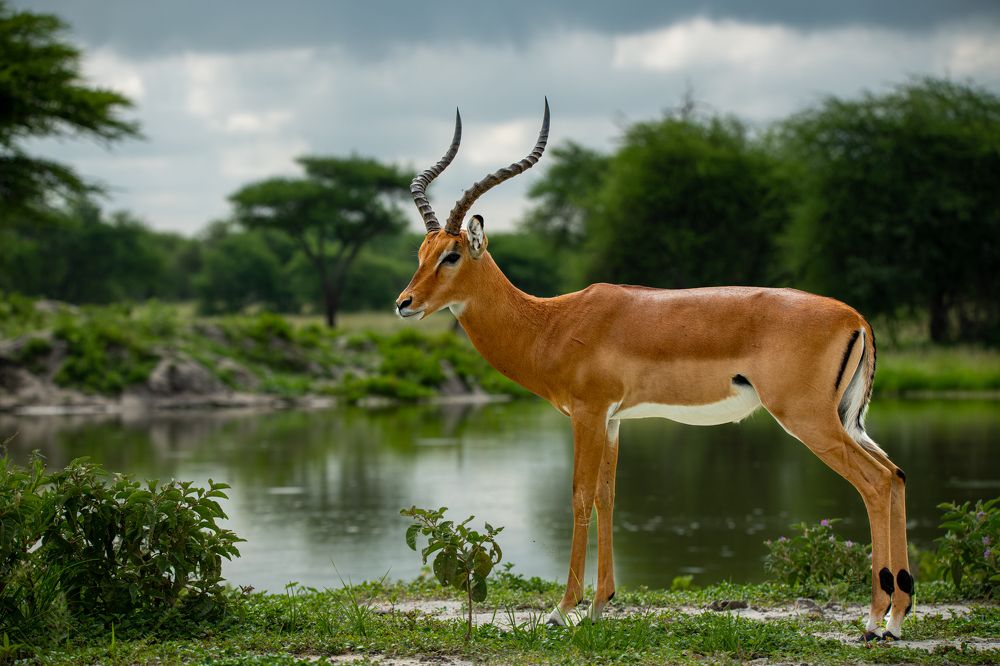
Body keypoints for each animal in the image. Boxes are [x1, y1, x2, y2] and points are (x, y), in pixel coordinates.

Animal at [396, 101, 913, 641]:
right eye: (422, 253)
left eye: (452, 255)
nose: (403, 303)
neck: (552, 323)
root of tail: (855, 318)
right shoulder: (613, 420)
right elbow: (607, 497)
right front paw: (600, 606)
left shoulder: (587, 414)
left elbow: (579, 496)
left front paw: (563, 610)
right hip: (848, 421)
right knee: (895, 475)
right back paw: (897, 616)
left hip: (808, 420)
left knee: (875, 483)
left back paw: (876, 621)